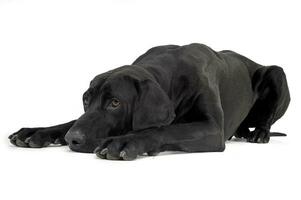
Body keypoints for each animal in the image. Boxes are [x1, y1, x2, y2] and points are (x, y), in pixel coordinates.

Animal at [8, 43, 288, 159]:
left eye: (115, 103)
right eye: (86, 99)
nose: (72, 140)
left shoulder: (212, 129)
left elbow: (165, 129)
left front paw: (125, 142)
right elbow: (70, 120)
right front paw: (36, 132)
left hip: (276, 73)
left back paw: (259, 133)